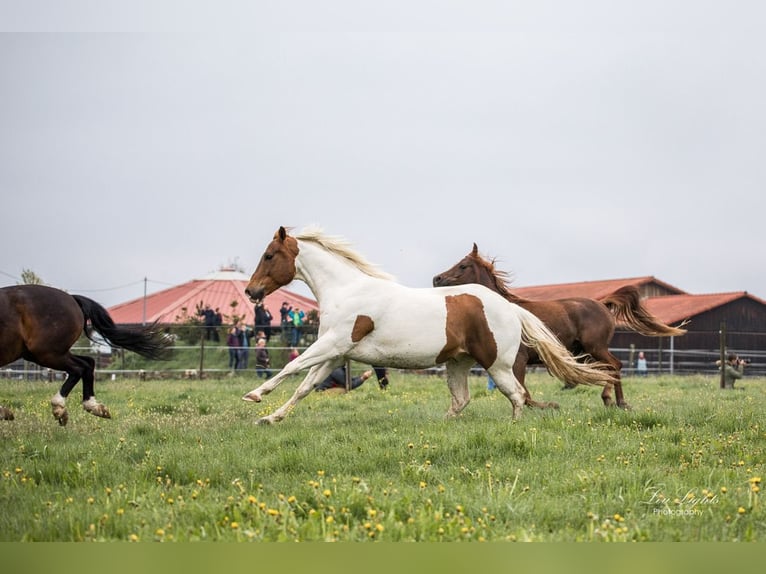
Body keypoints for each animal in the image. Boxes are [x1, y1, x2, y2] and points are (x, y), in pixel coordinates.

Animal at [0, 284, 172, 425]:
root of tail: (72, 298)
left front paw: (4, 412)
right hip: (44, 353)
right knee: (88, 362)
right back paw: (94, 407)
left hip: (46, 352)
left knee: (79, 368)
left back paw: (60, 408)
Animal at [241, 226, 617, 425]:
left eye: (269, 256)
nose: (251, 291)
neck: (347, 291)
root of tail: (510, 308)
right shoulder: (335, 353)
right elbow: (305, 386)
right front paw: (270, 418)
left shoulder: (332, 345)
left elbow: (291, 367)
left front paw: (254, 396)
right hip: (458, 363)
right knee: (463, 400)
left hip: (497, 364)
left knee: (517, 396)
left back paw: (514, 427)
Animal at [432, 244, 687, 409]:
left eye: (463, 265)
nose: (436, 279)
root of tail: (603, 304)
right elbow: (525, 393)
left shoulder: (519, 360)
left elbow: (524, 393)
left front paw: (549, 405)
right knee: (609, 367)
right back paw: (612, 400)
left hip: (595, 347)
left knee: (615, 365)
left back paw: (618, 401)